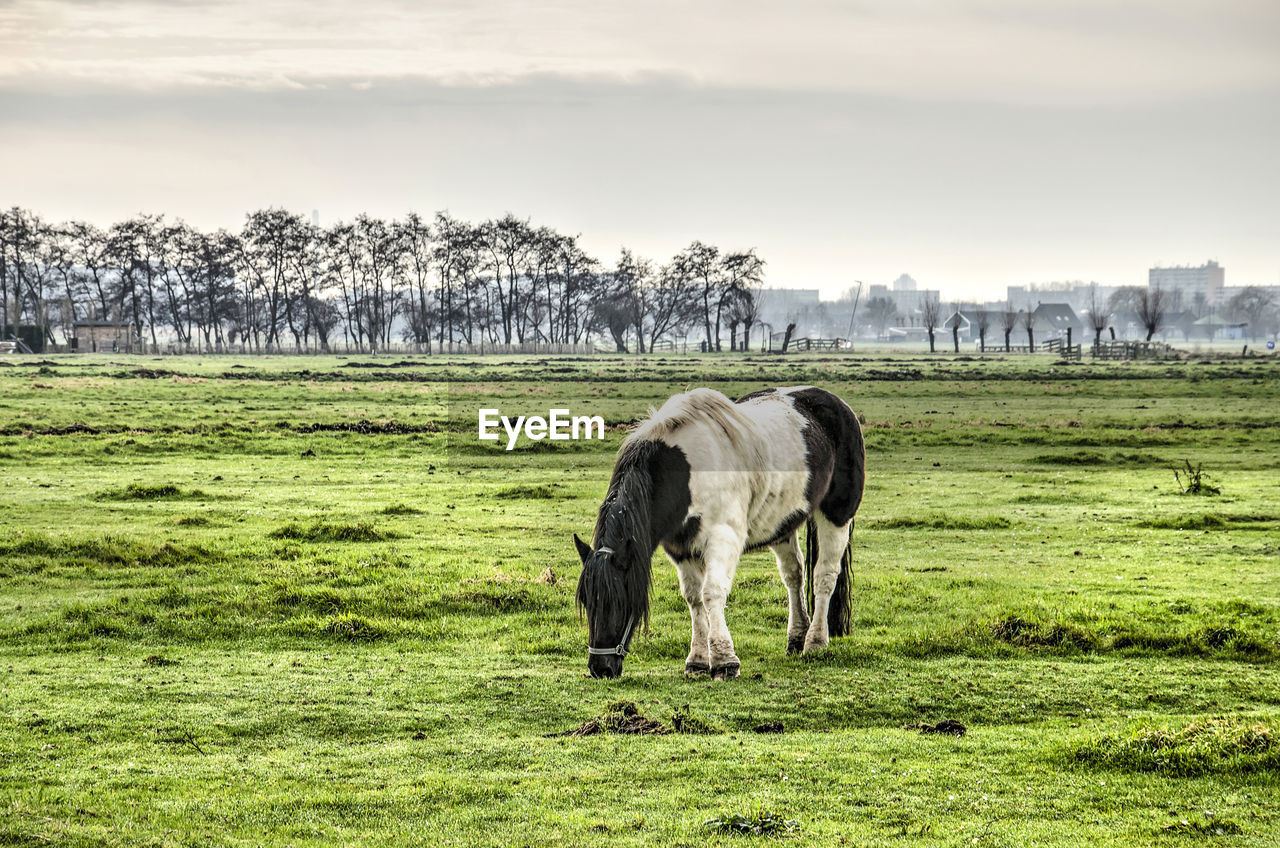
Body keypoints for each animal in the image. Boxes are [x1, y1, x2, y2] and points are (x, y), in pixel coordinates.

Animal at [576, 389, 865, 681]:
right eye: (587, 602)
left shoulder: (722, 539)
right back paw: (796, 637)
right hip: (782, 524)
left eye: (618, 602)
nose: (600, 668)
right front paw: (698, 661)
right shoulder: (681, 549)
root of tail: (838, 404)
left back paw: (815, 642)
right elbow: (694, 598)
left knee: (824, 576)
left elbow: (712, 593)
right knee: (794, 575)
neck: (684, 474)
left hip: (836, 516)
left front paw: (725, 661)